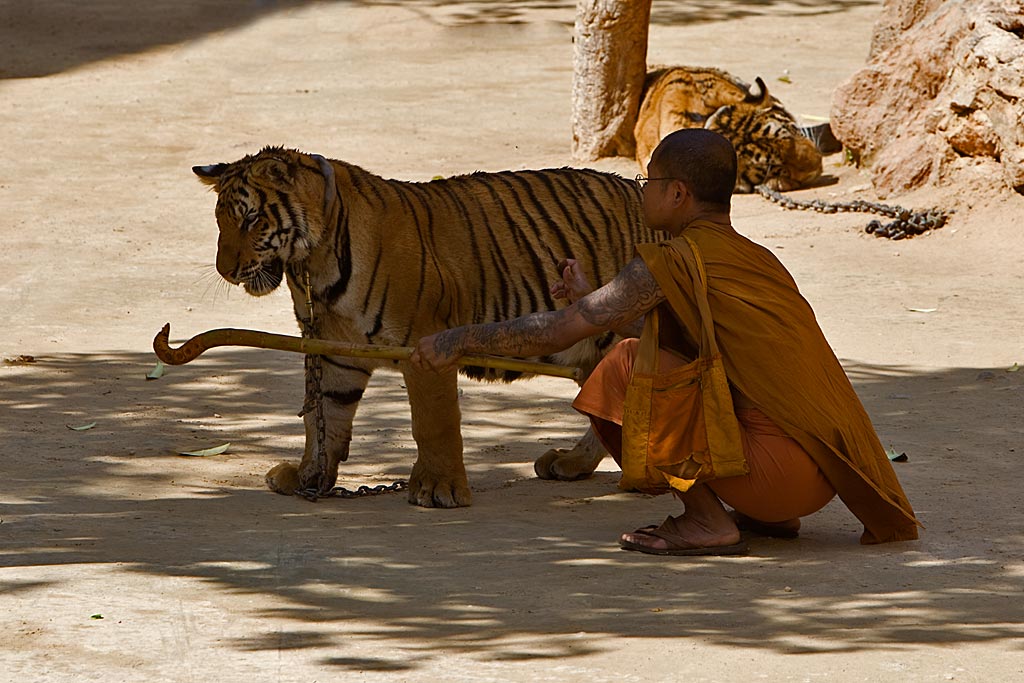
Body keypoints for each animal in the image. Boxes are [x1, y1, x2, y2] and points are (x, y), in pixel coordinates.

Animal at [192, 147, 659, 505]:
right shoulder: (332, 349)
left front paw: (439, 489)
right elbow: (323, 415)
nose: (225, 270)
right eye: (220, 221)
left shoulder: (425, 343)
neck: (314, 262)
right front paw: (310, 477)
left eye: (251, 219)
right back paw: (572, 462)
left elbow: (434, 422)